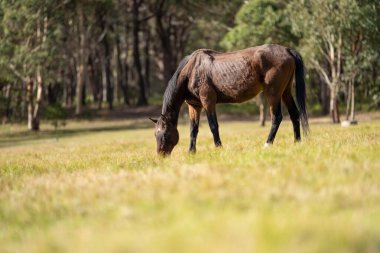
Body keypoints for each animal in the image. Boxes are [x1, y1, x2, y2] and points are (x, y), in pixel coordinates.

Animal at [149, 44, 308, 157]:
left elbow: (213, 126)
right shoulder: (194, 106)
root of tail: (287, 50)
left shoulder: (208, 102)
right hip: (285, 91)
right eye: (155, 134)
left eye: (165, 134)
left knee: (277, 117)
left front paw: (218, 147)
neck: (191, 70)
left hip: (273, 93)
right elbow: (193, 129)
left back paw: (268, 143)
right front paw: (191, 152)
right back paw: (297, 142)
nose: (161, 156)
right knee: (294, 114)